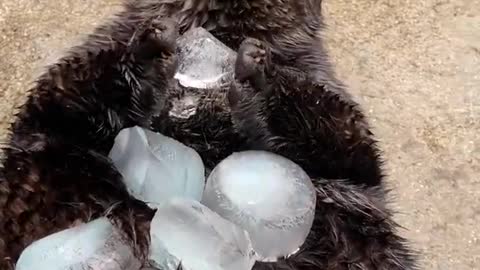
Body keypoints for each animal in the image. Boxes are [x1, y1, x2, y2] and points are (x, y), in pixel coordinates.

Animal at [0, 0, 416, 270]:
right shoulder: (63, 99)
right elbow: (68, 94)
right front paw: (151, 47)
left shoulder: (333, 111)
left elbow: (344, 139)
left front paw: (260, 74)